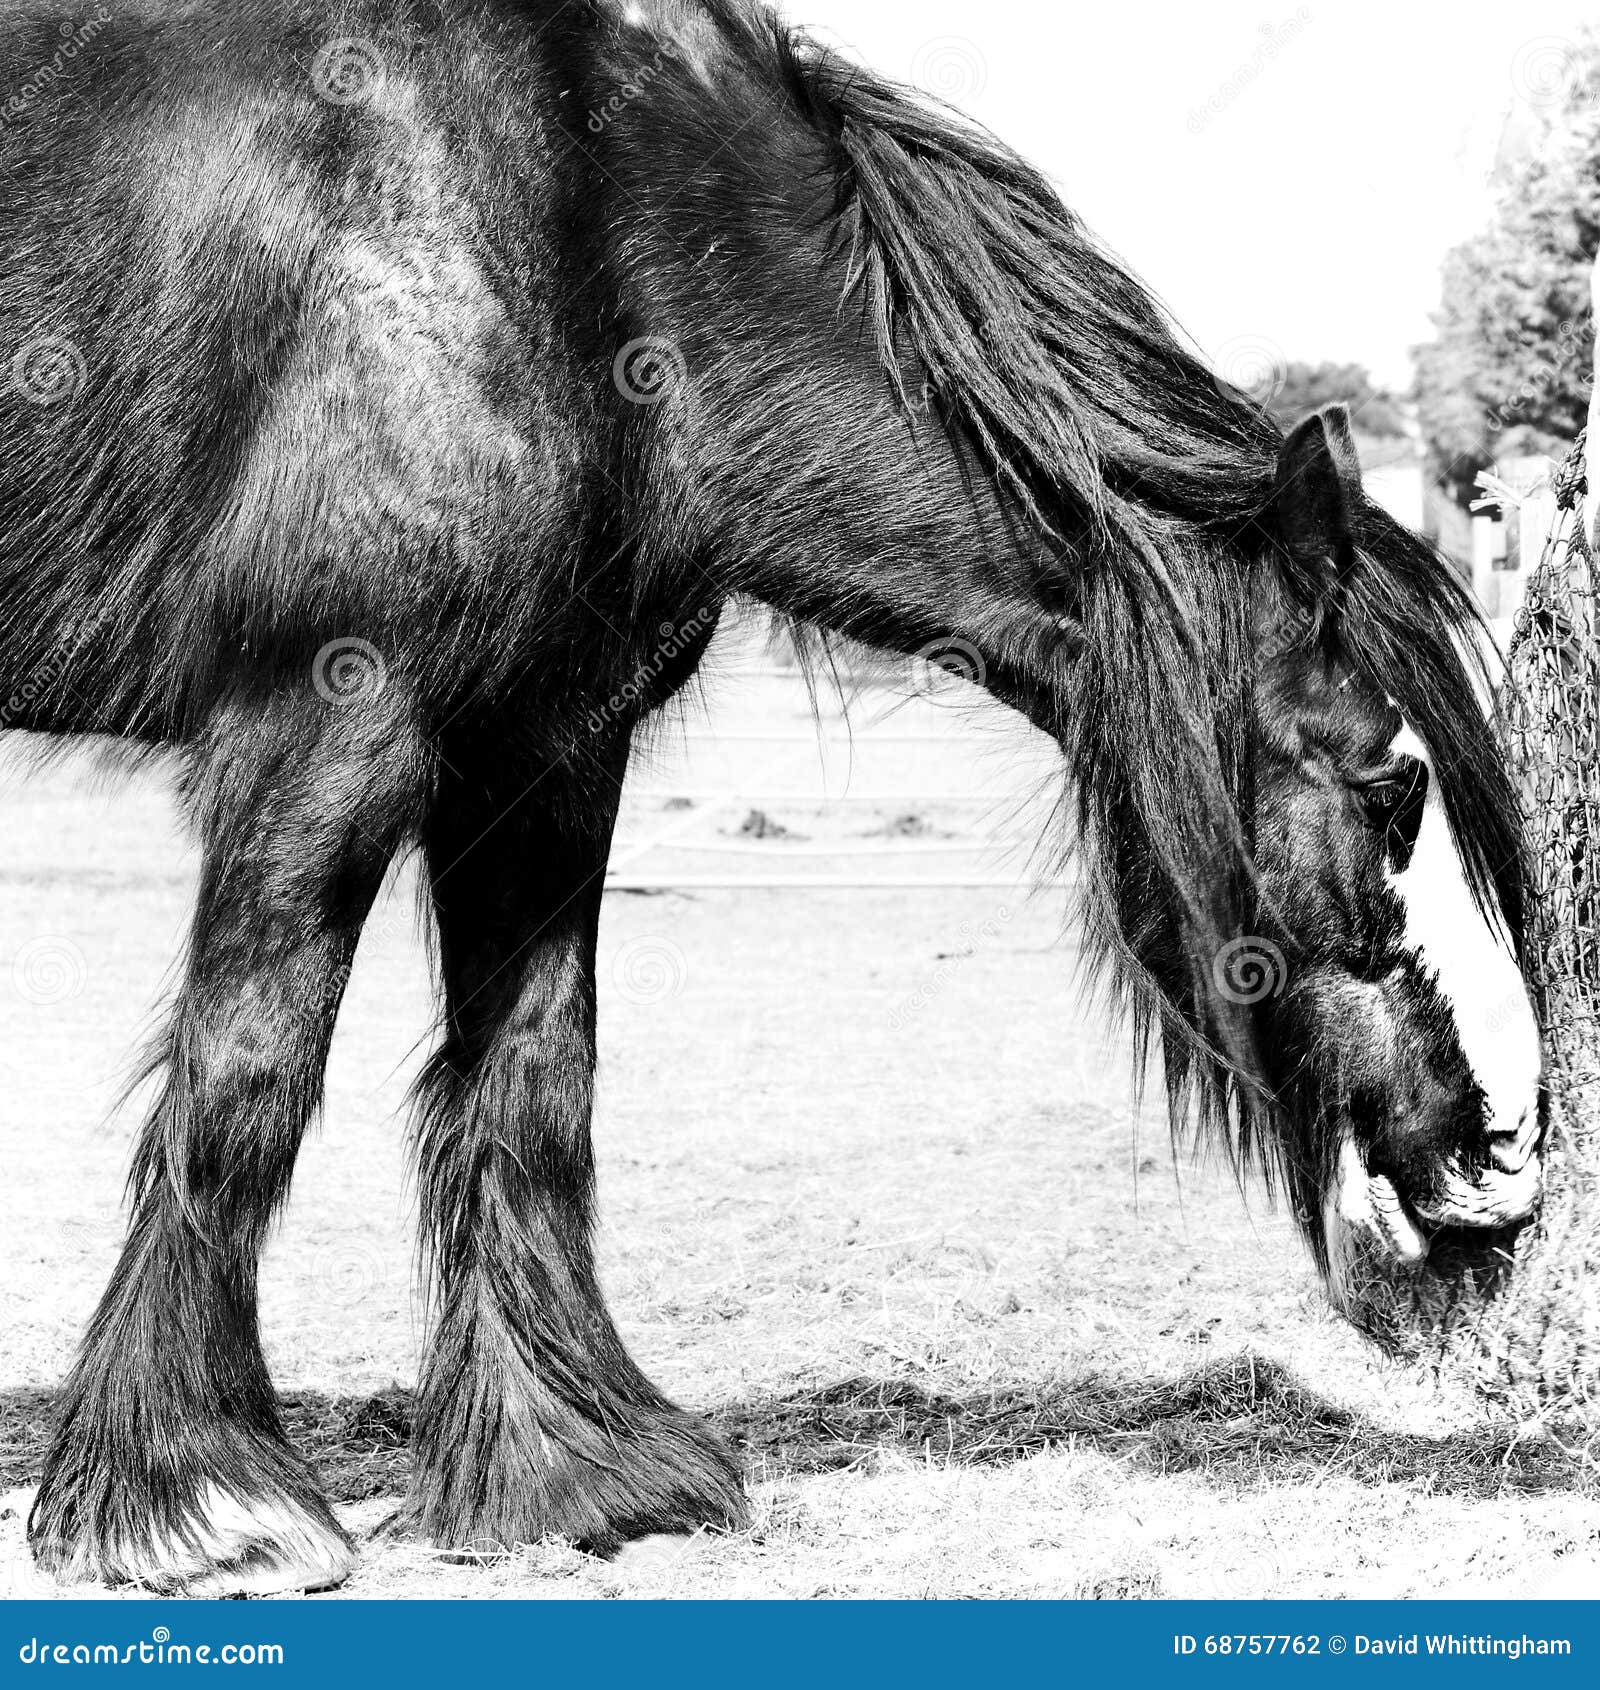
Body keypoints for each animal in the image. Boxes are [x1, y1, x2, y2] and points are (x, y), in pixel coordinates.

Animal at [1, 0, 1545, 1593]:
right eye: (1392, 788)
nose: (1496, 1164)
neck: (579, 227)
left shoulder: (547, 748)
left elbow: (533, 1081)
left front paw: (578, 1468)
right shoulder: (333, 719)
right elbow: (248, 1068)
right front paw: (197, 1492)